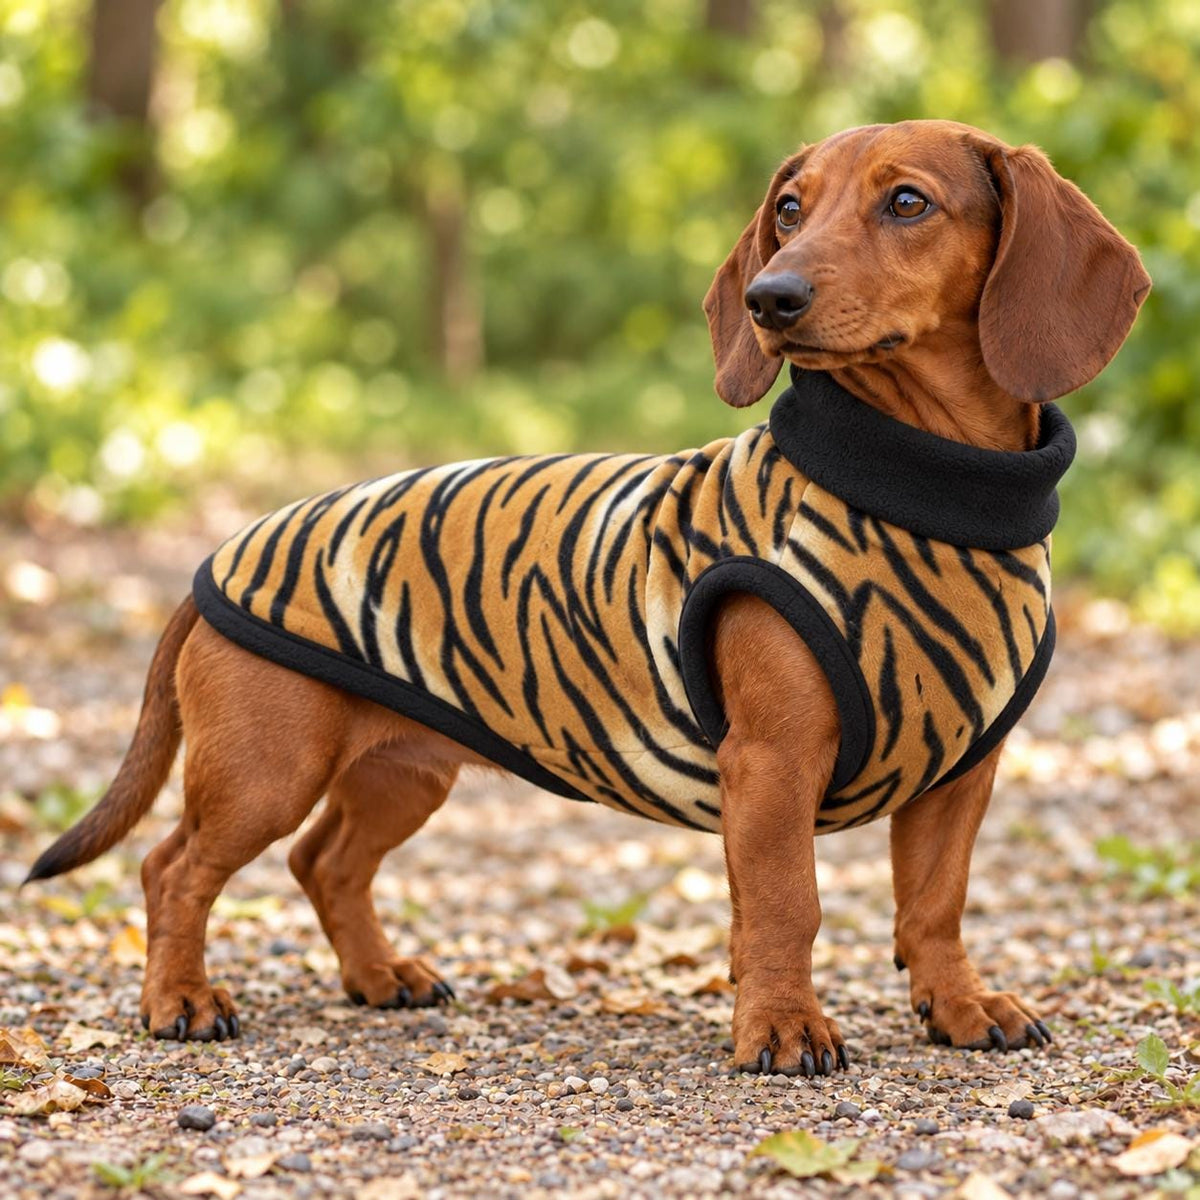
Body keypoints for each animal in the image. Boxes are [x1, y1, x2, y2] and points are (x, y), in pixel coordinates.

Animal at [194, 364, 1074, 835]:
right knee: (179, 870)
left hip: (400, 773)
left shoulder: (963, 776)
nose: (774, 294)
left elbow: (935, 908)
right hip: (267, 777)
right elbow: (789, 912)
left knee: (322, 863)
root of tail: (226, 556)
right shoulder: (770, 767)